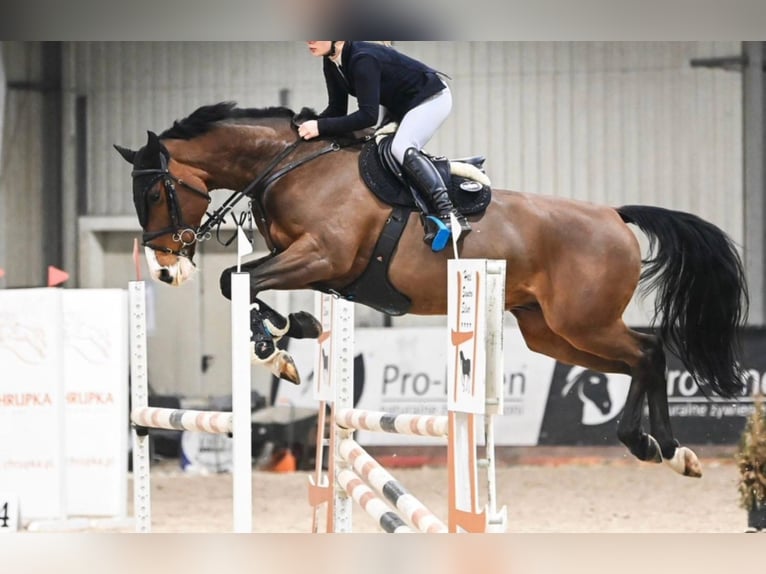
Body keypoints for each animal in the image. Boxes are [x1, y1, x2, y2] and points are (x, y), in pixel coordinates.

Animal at [115, 101, 749, 478]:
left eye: (155, 193)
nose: (167, 271)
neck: (290, 166)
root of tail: (615, 216)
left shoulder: (321, 255)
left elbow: (235, 279)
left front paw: (275, 352)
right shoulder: (318, 268)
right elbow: (244, 284)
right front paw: (294, 336)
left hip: (583, 321)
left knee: (649, 351)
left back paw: (660, 446)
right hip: (551, 332)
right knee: (634, 362)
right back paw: (663, 448)